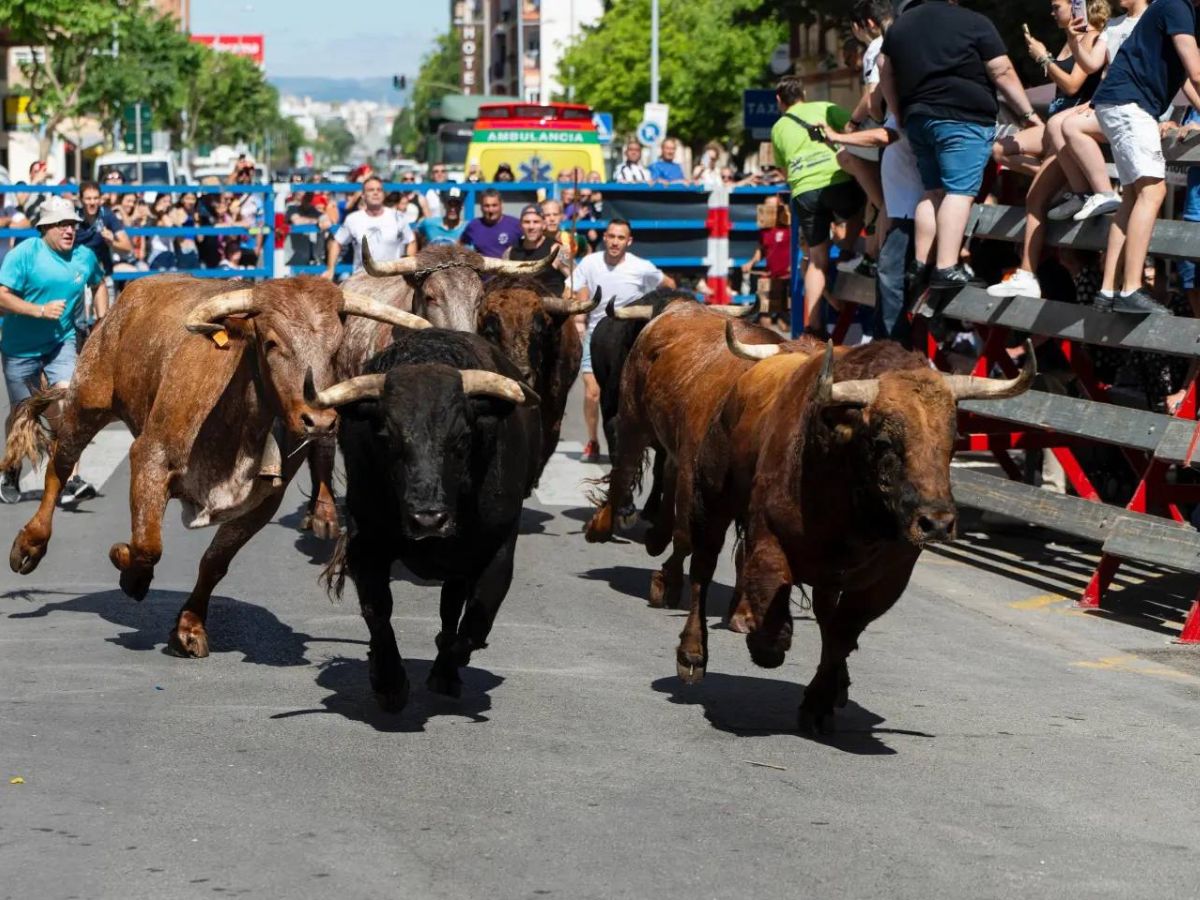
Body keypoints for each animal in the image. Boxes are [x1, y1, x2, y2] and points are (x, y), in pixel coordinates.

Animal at [0, 271, 424, 657]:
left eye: (335, 350)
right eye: (271, 342)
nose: (318, 420)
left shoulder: (262, 500)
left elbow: (214, 562)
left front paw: (188, 628)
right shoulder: (150, 458)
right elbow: (147, 545)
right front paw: (130, 572)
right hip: (87, 402)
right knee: (59, 466)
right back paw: (29, 545)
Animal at [585, 304, 792, 614]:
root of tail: (679, 307)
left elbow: (747, 552)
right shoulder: (693, 473)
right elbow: (685, 535)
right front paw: (666, 584)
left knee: (664, 469)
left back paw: (656, 536)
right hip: (633, 418)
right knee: (624, 470)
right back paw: (603, 525)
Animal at [681, 331, 1036, 734]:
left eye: (952, 441)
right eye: (883, 441)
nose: (937, 523)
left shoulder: (888, 577)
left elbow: (841, 633)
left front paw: (819, 702)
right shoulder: (769, 534)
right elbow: (772, 599)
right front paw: (766, 643)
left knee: (823, 615)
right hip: (711, 501)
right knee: (703, 568)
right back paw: (693, 654)